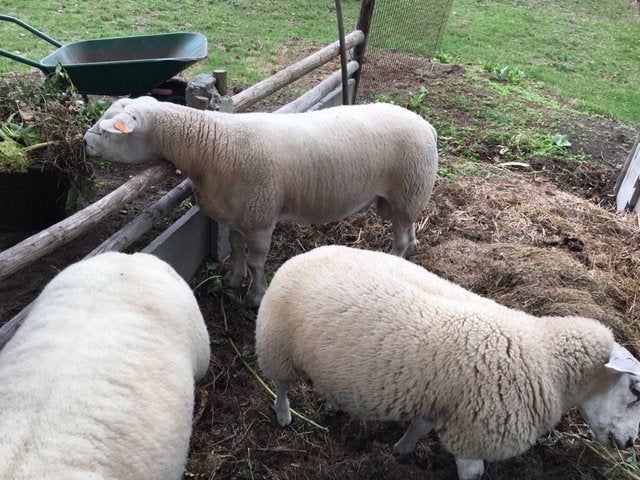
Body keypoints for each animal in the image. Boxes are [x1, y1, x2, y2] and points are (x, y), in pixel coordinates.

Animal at [83, 97, 438, 307]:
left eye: (108, 130)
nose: (83, 142)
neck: (210, 145)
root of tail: (428, 127)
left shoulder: (260, 218)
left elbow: (256, 261)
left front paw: (256, 295)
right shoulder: (237, 215)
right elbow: (236, 249)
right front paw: (232, 280)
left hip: (409, 189)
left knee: (400, 238)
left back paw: (395, 258)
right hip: (402, 198)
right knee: (407, 228)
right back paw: (414, 247)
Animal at [255, 245, 640, 480]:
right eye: (635, 389)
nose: (630, 445)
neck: (544, 358)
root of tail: (304, 254)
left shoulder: (439, 400)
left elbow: (418, 427)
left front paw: (402, 451)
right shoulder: (473, 433)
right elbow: (473, 473)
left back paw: (333, 403)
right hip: (277, 345)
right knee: (281, 385)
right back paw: (284, 415)